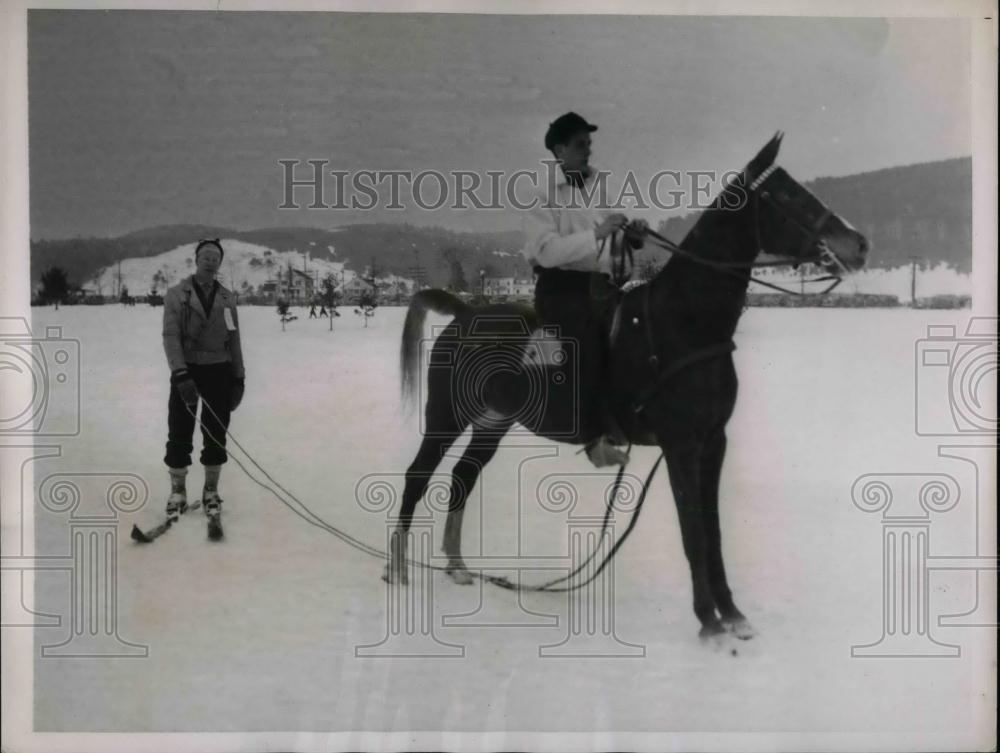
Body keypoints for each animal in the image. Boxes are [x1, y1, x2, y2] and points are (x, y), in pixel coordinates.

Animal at [386, 132, 872, 636]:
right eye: (786, 195)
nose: (858, 245)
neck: (686, 322)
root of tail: (465, 311)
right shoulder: (680, 444)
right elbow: (693, 532)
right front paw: (709, 621)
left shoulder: (713, 442)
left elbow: (714, 530)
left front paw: (732, 613)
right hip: (447, 415)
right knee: (418, 474)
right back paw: (397, 568)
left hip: (493, 420)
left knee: (463, 476)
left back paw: (457, 567)